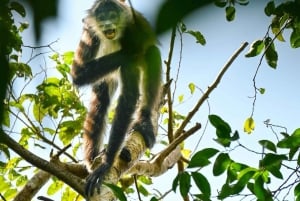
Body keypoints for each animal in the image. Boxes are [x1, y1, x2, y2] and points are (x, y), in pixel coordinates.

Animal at [71, 0, 162, 198]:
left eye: (112, 16)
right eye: (101, 17)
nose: (107, 25)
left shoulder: (132, 32)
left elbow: (129, 98)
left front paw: (105, 165)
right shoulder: (90, 32)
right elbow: (78, 74)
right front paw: (104, 163)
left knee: (152, 53)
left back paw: (144, 122)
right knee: (101, 99)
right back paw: (93, 159)